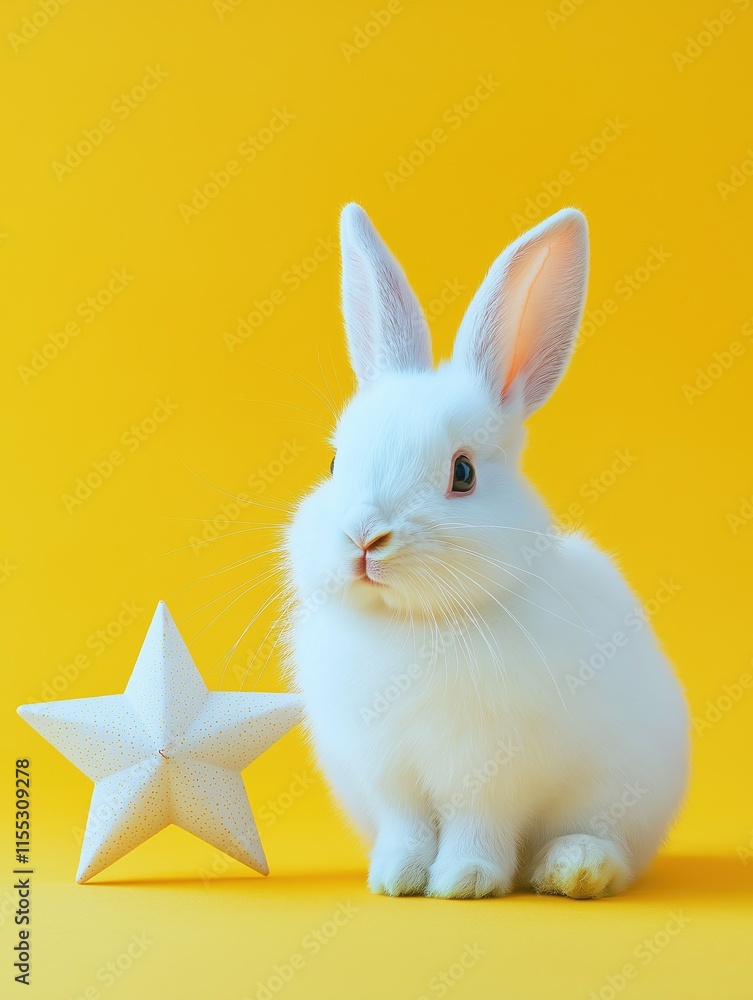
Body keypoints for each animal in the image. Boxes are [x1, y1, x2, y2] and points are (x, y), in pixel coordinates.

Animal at [284, 203, 689, 899]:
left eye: (463, 473)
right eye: (335, 463)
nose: (365, 538)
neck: (411, 625)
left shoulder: (494, 772)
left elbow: (479, 824)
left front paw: (464, 880)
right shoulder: (388, 775)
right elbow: (407, 826)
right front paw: (395, 878)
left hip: (626, 793)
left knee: (612, 847)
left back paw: (575, 869)